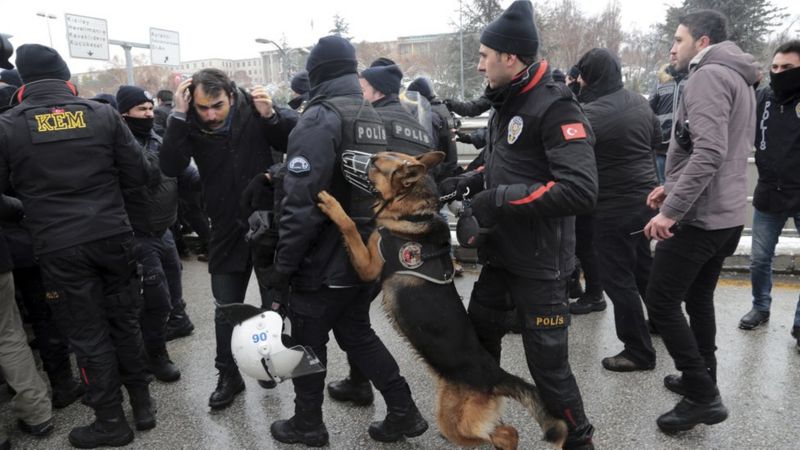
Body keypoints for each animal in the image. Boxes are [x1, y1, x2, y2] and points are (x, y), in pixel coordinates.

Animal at [316, 152, 564, 450]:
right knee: (506, 432)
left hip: (454, 421)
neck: (412, 211)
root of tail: (495, 374)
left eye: (374, 162)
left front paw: (332, 205)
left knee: (505, 433)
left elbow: (350, 226)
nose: (345, 156)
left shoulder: (368, 266)